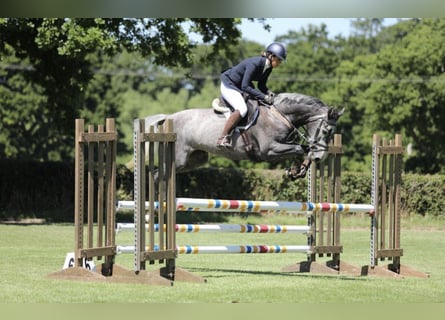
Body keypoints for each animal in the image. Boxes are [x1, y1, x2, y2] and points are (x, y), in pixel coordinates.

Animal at [143, 92, 344, 180]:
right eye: (326, 130)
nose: (320, 157)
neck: (280, 116)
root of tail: (168, 118)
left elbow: (302, 149)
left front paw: (297, 170)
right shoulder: (268, 151)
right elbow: (298, 149)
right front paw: (296, 169)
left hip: (192, 160)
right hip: (177, 158)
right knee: (156, 174)